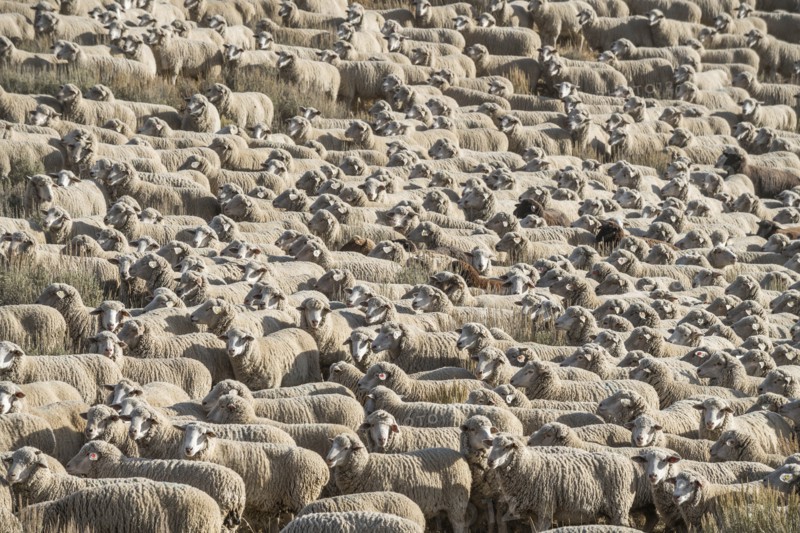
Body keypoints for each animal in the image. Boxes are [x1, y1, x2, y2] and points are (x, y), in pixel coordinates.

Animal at [325, 432, 472, 532]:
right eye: (332, 444)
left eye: (346, 448)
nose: (329, 459)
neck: (366, 467)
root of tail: (461, 457)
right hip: (442, 505)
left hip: (457, 502)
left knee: (459, 524)